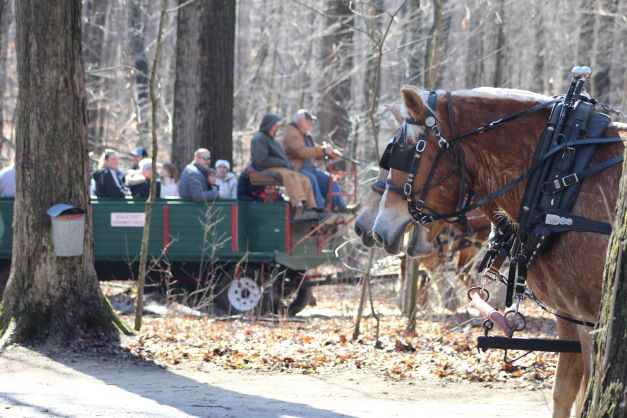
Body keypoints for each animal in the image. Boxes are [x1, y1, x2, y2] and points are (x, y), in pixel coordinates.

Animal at [376, 83, 624, 416]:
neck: (563, 179)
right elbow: (566, 392)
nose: (378, 230)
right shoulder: (572, 316)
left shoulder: (595, 318)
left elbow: (589, 394)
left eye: (406, 152)